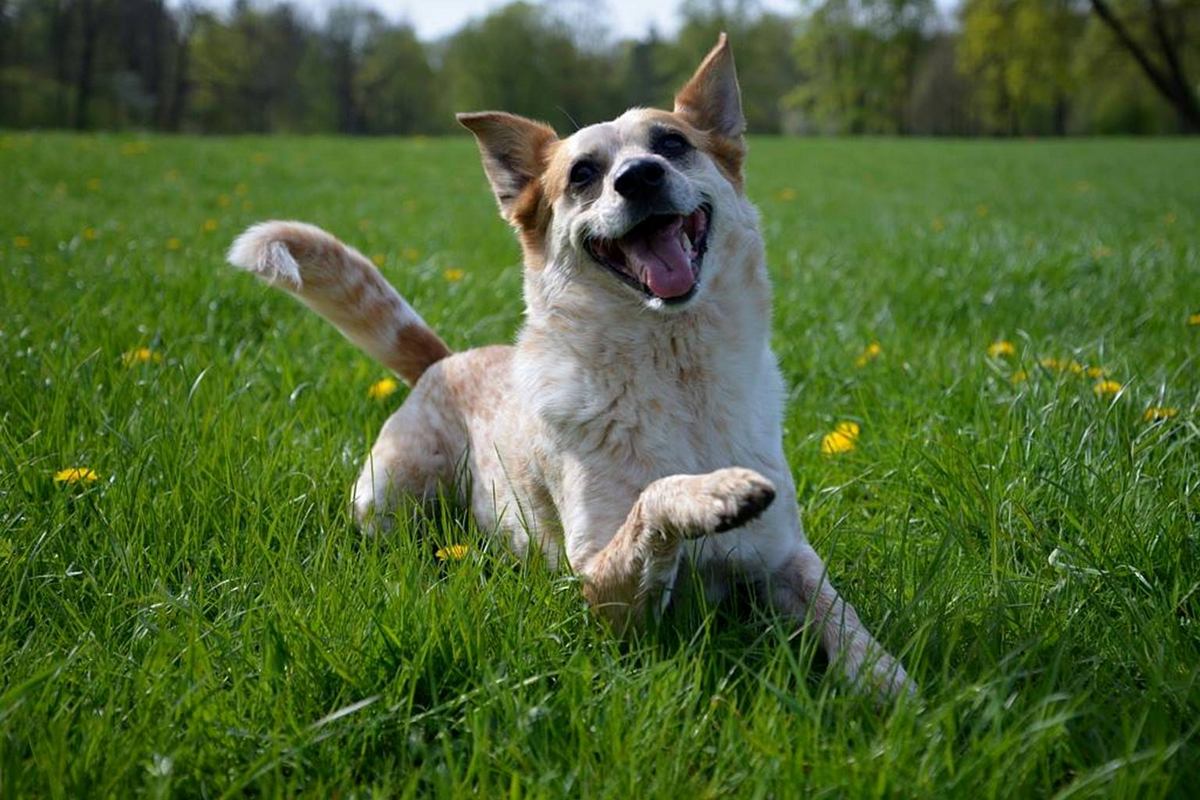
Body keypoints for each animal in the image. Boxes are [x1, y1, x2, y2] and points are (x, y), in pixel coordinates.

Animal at [226, 35, 907, 700]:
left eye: (672, 143)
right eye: (583, 174)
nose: (640, 177)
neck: (677, 374)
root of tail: (446, 360)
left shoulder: (786, 556)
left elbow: (844, 620)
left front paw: (893, 690)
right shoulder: (602, 590)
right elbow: (655, 498)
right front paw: (715, 491)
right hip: (388, 495)